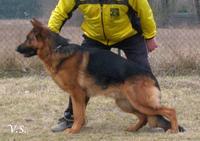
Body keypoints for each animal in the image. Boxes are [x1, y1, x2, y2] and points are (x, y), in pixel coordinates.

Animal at [16, 19, 184, 134]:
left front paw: (73, 130)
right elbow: (80, 113)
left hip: (140, 101)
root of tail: (151, 76)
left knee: (170, 110)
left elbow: (78, 114)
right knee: (143, 117)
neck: (57, 49)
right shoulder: (79, 96)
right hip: (125, 103)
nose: (17, 49)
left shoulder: (77, 94)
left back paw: (174, 130)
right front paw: (78, 128)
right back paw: (132, 129)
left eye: (28, 38)